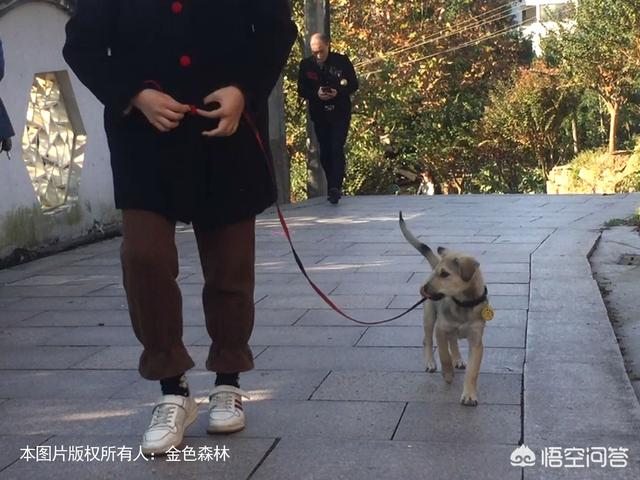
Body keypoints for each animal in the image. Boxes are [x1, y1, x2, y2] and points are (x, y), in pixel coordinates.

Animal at [398, 212, 492, 406]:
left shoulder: (476, 341)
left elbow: (472, 371)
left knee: (453, 341)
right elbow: (443, 353)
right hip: (429, 317)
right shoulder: (440, 330)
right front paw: (448, 374)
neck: (463, 304)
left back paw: (458, 359)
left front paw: (469, 394)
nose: (424, 289)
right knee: (427, 340)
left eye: (445, 274)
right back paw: (431, 363)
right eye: (437, 273)